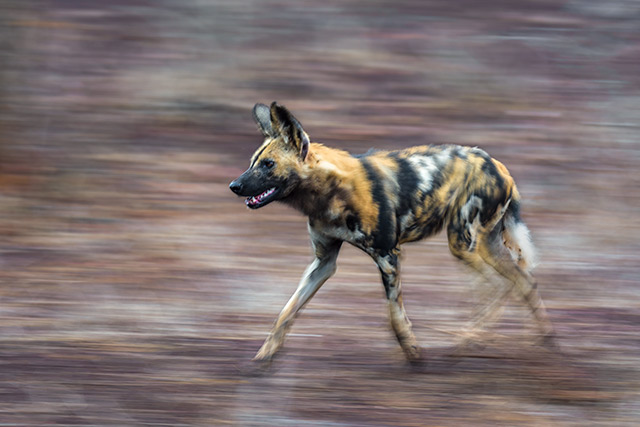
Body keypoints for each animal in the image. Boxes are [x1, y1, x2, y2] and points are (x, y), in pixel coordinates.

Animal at [230, 102, 556, 366]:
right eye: (252, 162)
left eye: (268, 165)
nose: (234, 186)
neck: (328, 193)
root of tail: (499, 166)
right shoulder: (323, 263)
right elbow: (286, 312)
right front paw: (265, 356)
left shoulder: (388, 256)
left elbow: (394, 317)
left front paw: (413, 354)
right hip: (486, 246)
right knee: (523, 282)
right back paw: (545, 340)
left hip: (462, 245)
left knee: (499, 287)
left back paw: (467, 341)